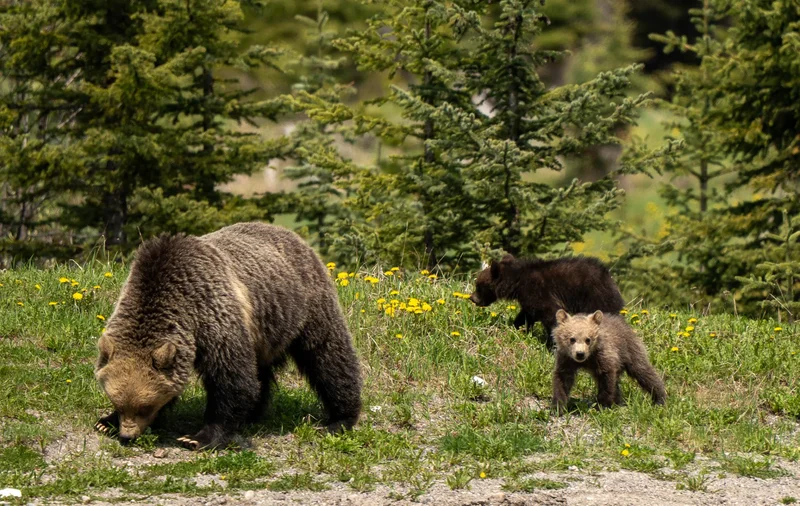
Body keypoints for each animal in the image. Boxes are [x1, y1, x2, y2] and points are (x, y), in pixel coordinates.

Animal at [93, 222, 362, 450]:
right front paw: (105, 422)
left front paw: (198, 437)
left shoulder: (213, 314)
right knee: (262, 372)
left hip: (306, 304)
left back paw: (339, 419)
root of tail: (291, 235)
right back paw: (253, 414)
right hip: (264, 330)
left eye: (145, 406)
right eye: (117, 402)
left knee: (328, 356)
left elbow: (231, 378)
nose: (128, 436)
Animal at [469, 254, 625, 348]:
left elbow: (550, 314)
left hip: (594, 297)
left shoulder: (538, 291)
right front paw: (516, 327)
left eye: (478, 285)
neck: (517, 283)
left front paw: (553, 344)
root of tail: (610, 280)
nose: (472, 298)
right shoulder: (528, 300)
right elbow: (526, 315)